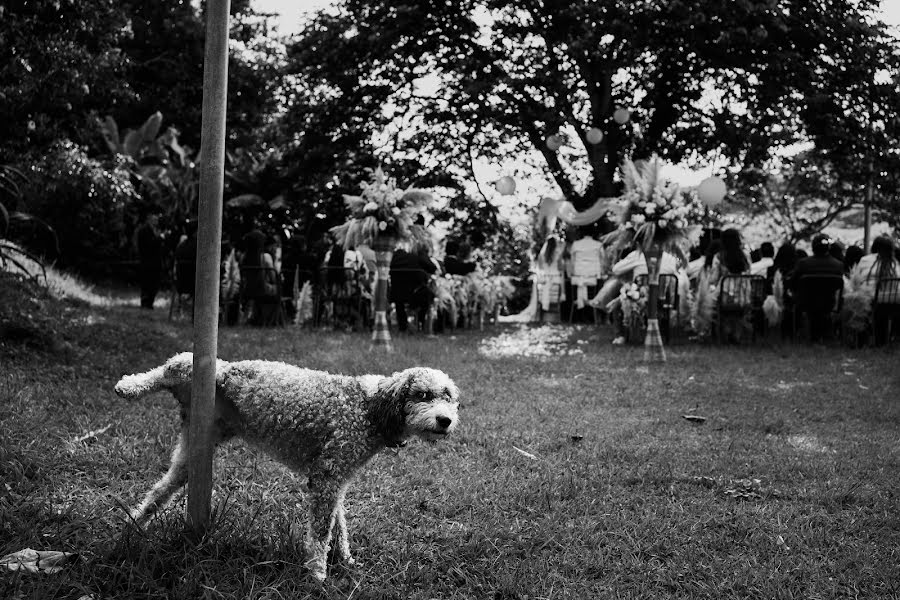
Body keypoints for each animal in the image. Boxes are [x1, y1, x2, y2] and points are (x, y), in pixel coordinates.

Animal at [115, 352, 460, 580]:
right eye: (423, 394)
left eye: (450, 399)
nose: (446, 420)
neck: (368, 407)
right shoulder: (326, 478)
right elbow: (320, 532)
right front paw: (317, 574)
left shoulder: (335, 479)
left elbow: (338, 525)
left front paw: (345, 559)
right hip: (195, 371)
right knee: (171, 364)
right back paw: (128, 386)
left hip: (194, 449)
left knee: (161, 490)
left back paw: (135, 524)